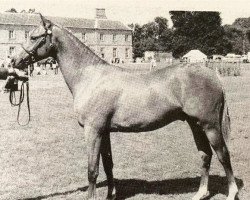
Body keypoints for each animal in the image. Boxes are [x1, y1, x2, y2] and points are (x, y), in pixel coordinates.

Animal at [11, 14, 238, 200]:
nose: (14, 60)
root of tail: (213, 74)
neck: (90, 77)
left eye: (34, 37)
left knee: (223, 154)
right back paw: (200, 193)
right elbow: (108, 164)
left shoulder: (93, 131)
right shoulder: (104, 131)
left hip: (210, 125)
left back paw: (231, 193)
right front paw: (111, 194)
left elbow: (92, 170)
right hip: (194, 124)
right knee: (205, 154)